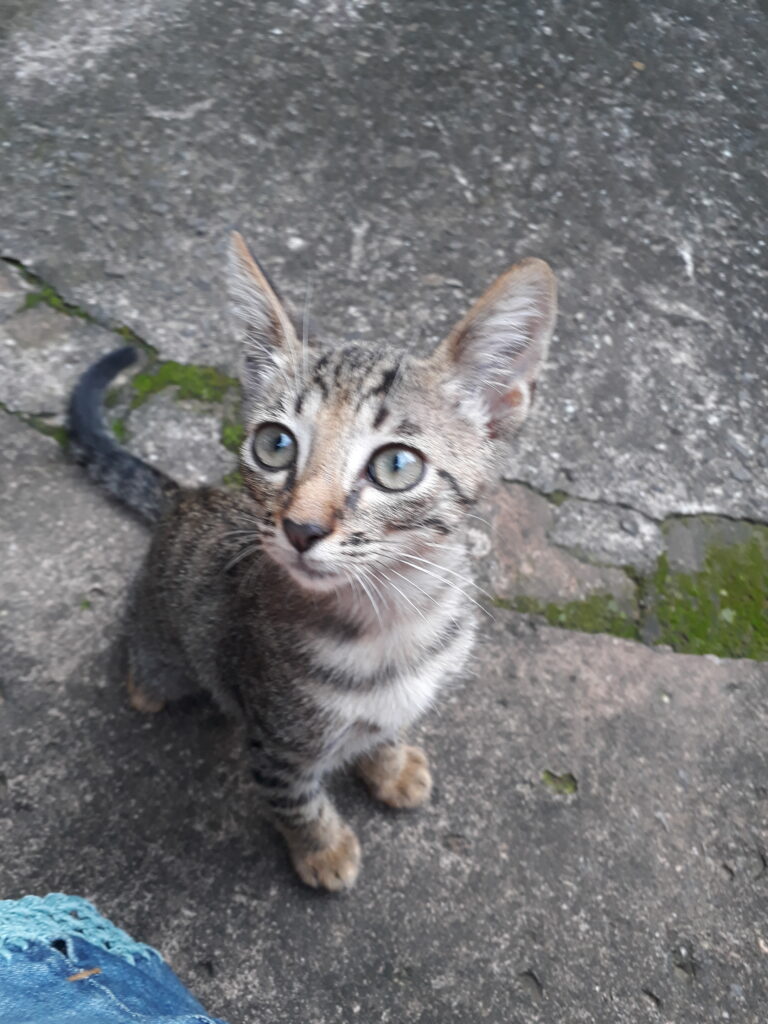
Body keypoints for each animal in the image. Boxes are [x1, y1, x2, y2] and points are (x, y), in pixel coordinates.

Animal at [69, 234, 557, 888]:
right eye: (275, 445)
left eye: (396, 465)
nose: (300, 528)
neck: (392, 621)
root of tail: (184, 496)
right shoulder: (274, 739)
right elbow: (293, 798)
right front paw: (322, 848)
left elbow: (386, 729)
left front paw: (389, 764)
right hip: (160, 646)